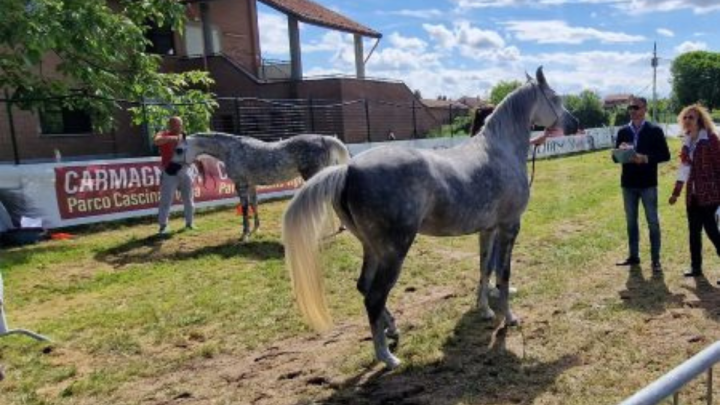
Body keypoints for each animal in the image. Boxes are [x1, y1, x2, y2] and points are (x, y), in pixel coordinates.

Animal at [172, 132, 350, 241]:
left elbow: (245, 208)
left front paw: (244, 235)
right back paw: (341, 227)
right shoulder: (251, 184)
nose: (170, 168)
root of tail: (324, 139)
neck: (232, 150)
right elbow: (254, 205)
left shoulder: (241, 185)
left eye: (179, 149)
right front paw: (256, 229)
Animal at [282, 67, 579, 369]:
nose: (575, 124)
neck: (500, 150)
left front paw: (484, 309)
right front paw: (508, 317)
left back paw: (392, 329)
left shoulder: (488, 229)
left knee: (364, 286)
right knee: (374, 297)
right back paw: (388, 357)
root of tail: (348, 170)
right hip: (394, 251)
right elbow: (504, 274)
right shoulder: (509, 227)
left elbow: (484, 268)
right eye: (556, 98)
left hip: (372, 248)